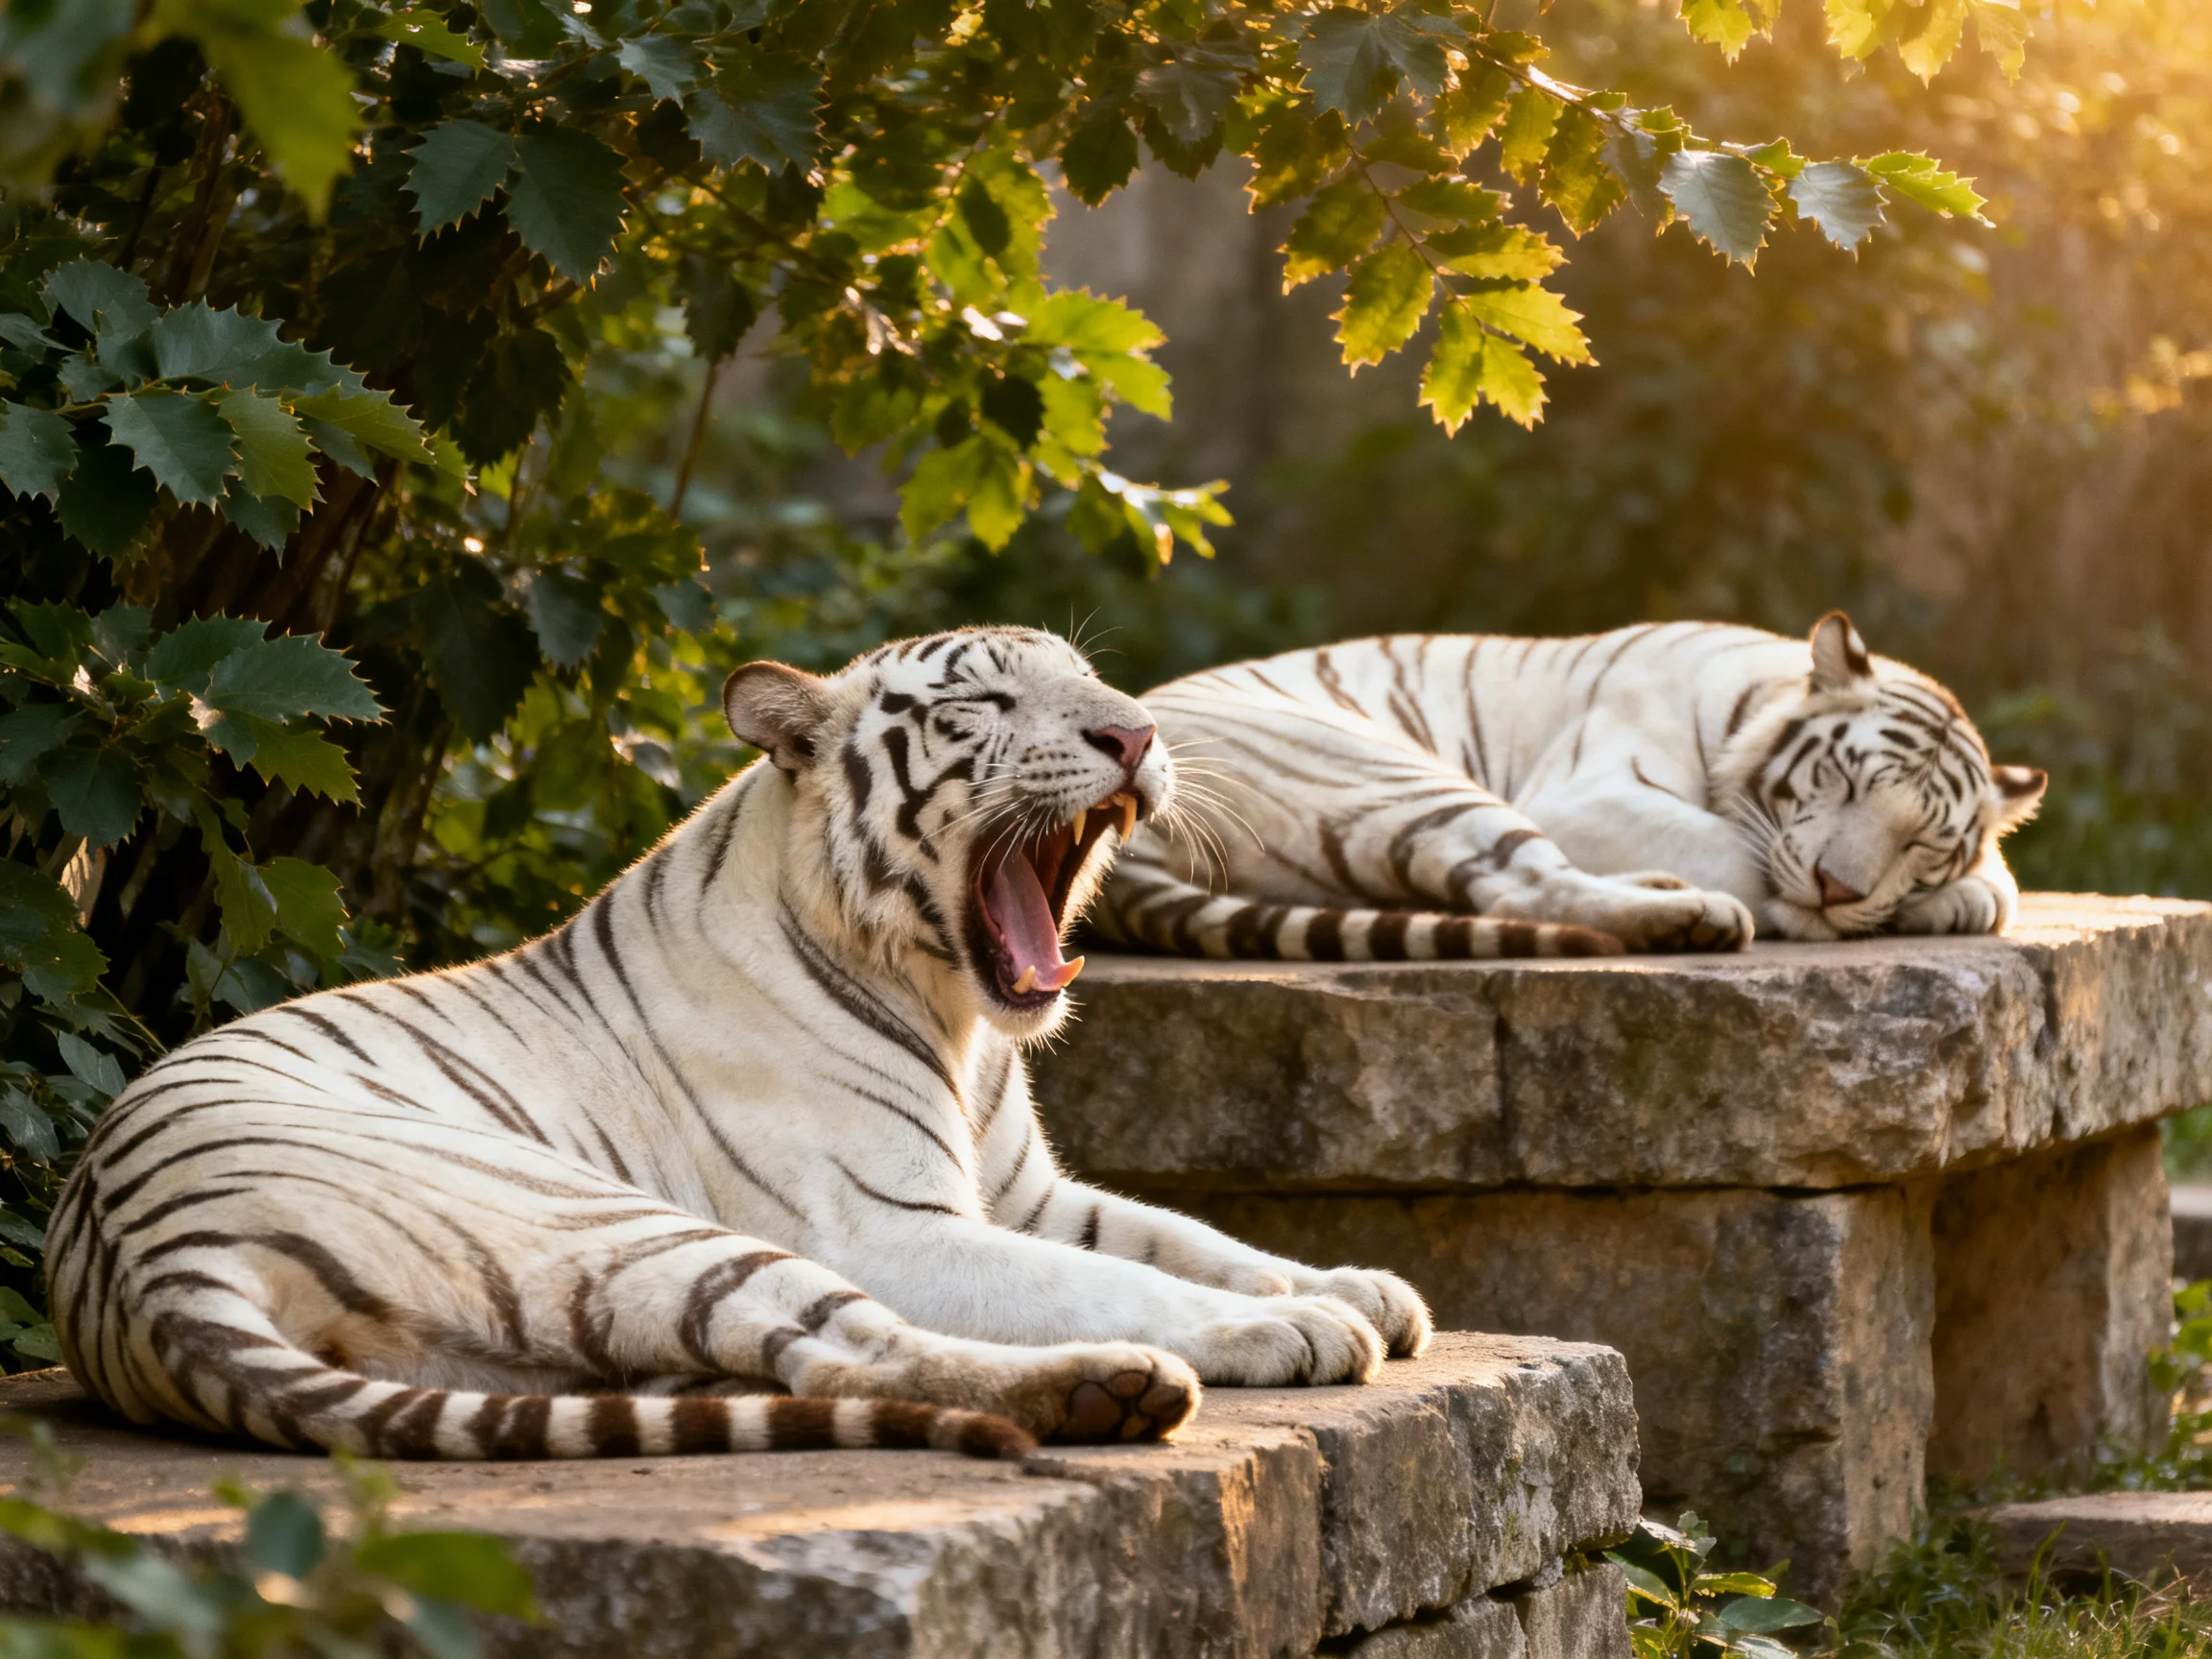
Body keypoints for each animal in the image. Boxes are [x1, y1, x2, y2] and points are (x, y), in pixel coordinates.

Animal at [48, 626, 1430, 1464]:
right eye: (987, 702)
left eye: (1095, 684)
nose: (1135, 734)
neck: (959, 1017)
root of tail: (140, 1266)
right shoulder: (894, 1224)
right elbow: (1132, 1279)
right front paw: (1305, 1329)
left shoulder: (1033, 1194)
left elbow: (1197, 1239)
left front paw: (1362, 1287)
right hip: (621, 1225)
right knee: (861, 1345)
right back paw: (1118, 1387)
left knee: (798, 1374)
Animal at [1094, 613, 2047, 961]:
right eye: (1844, 782)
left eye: (1920, 840)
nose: (1836, 888)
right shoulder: (1590, 792)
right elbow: (1738, 852)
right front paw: (1795, 904)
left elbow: (1992, 885)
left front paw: (1955, 898)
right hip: (1387, 769)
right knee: (1525, 884)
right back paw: (1691, 914)